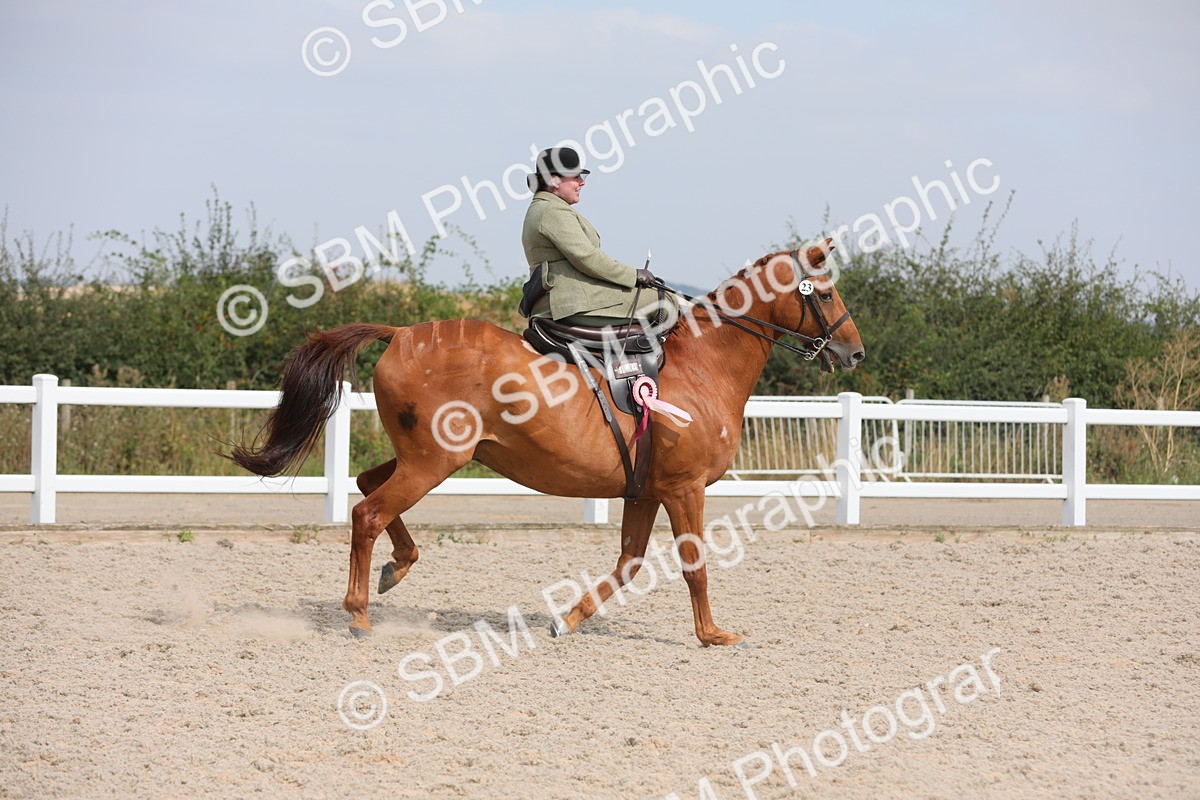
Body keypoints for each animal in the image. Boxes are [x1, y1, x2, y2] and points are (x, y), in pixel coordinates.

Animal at [231, 240, 864, 647]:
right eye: (827, 294)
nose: (853, 352)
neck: (703, 367)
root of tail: (403, 332)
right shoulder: (684, 489)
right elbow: (694, 566)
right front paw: (712, 635)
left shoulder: (645, 491)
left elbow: (629, 564)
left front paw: (567, 620)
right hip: (435, 462)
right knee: (367, 512)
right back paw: (359, 613)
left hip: (428, 457)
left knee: (366, 487)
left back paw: (397, 567)